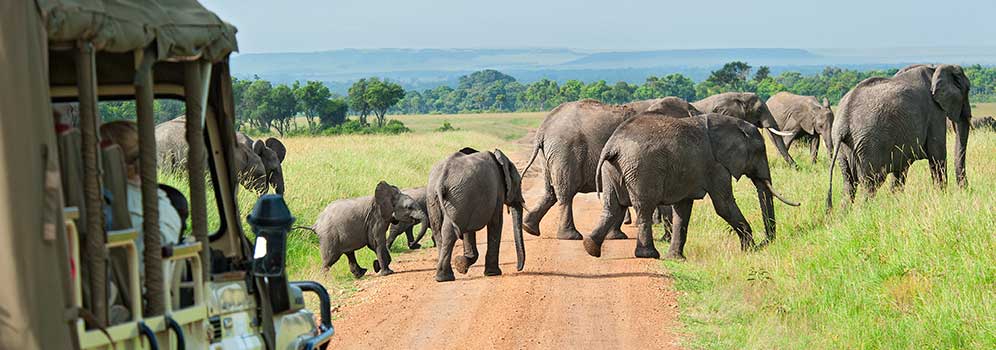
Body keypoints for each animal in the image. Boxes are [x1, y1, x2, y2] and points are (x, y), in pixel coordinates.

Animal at [428, 147, 528, 282]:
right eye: (520, 183)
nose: (518, 268)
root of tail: (441, 179)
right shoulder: (497, 192)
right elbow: (496, 223)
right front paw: (493, 273)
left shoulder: (470, 202)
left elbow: (468, 231)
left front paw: (461, 265)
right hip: (457, 197)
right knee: (449, 232)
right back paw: (445, 277)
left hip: (441, 197)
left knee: (438, 232)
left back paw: (443, 277)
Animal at [520, 98, 700, 241]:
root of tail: (543, 127)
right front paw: (665, 239)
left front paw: (616, 236)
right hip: (565, 151)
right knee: (566, 192)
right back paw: (571, 236)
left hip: (549, 155)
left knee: (550, 191)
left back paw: (529, 228)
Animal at [584, 112, 800, 260]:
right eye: (760, 151)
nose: (765, 243)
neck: (731, 124)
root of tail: (613, 146)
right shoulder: (716, 166)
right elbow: (723, 205)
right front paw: (749, 251)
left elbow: (683, 209)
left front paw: (676, 258)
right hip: (641, 169)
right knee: (644, 207)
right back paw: (649, 255)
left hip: (612, 169)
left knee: (613, 207)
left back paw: (590, 247)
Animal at [824, 63, 972, 208]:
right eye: (968, 89)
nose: (965, 189)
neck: (935, 68)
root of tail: (843, 122)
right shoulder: (934, 112)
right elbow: (937, 156)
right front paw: (942, 197)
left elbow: (900, 169)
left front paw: (896, 202)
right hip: (869, 146)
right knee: (871, 184)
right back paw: (865, 211)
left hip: (844, 148)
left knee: (849, 185)